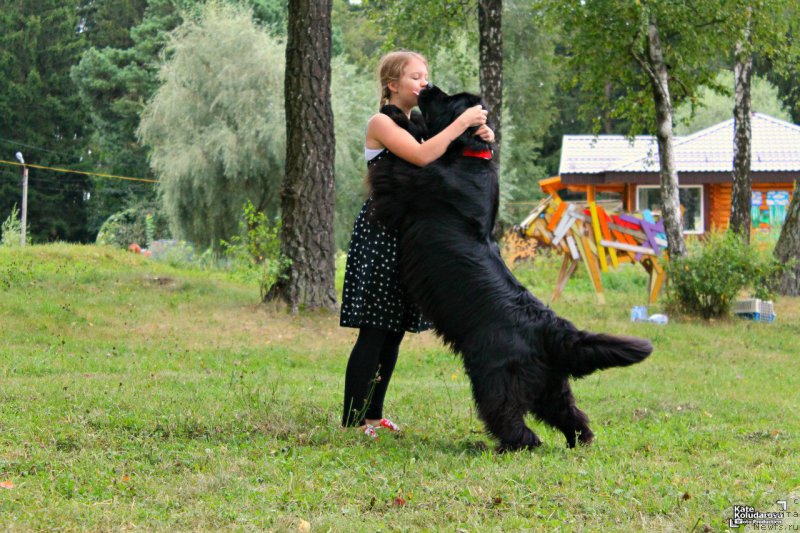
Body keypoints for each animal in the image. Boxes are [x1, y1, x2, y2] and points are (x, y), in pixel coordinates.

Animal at [368, 86, 648, 448]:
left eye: (449, 99)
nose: (427, 87)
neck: (470, 156)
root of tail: (548, 327)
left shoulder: (412, 179)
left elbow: (403, 159)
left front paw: (395, 114)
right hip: (550, 383)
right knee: (571, 414)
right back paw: (579, 442)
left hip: (494, 374)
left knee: (509, 415)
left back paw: (512, 445)